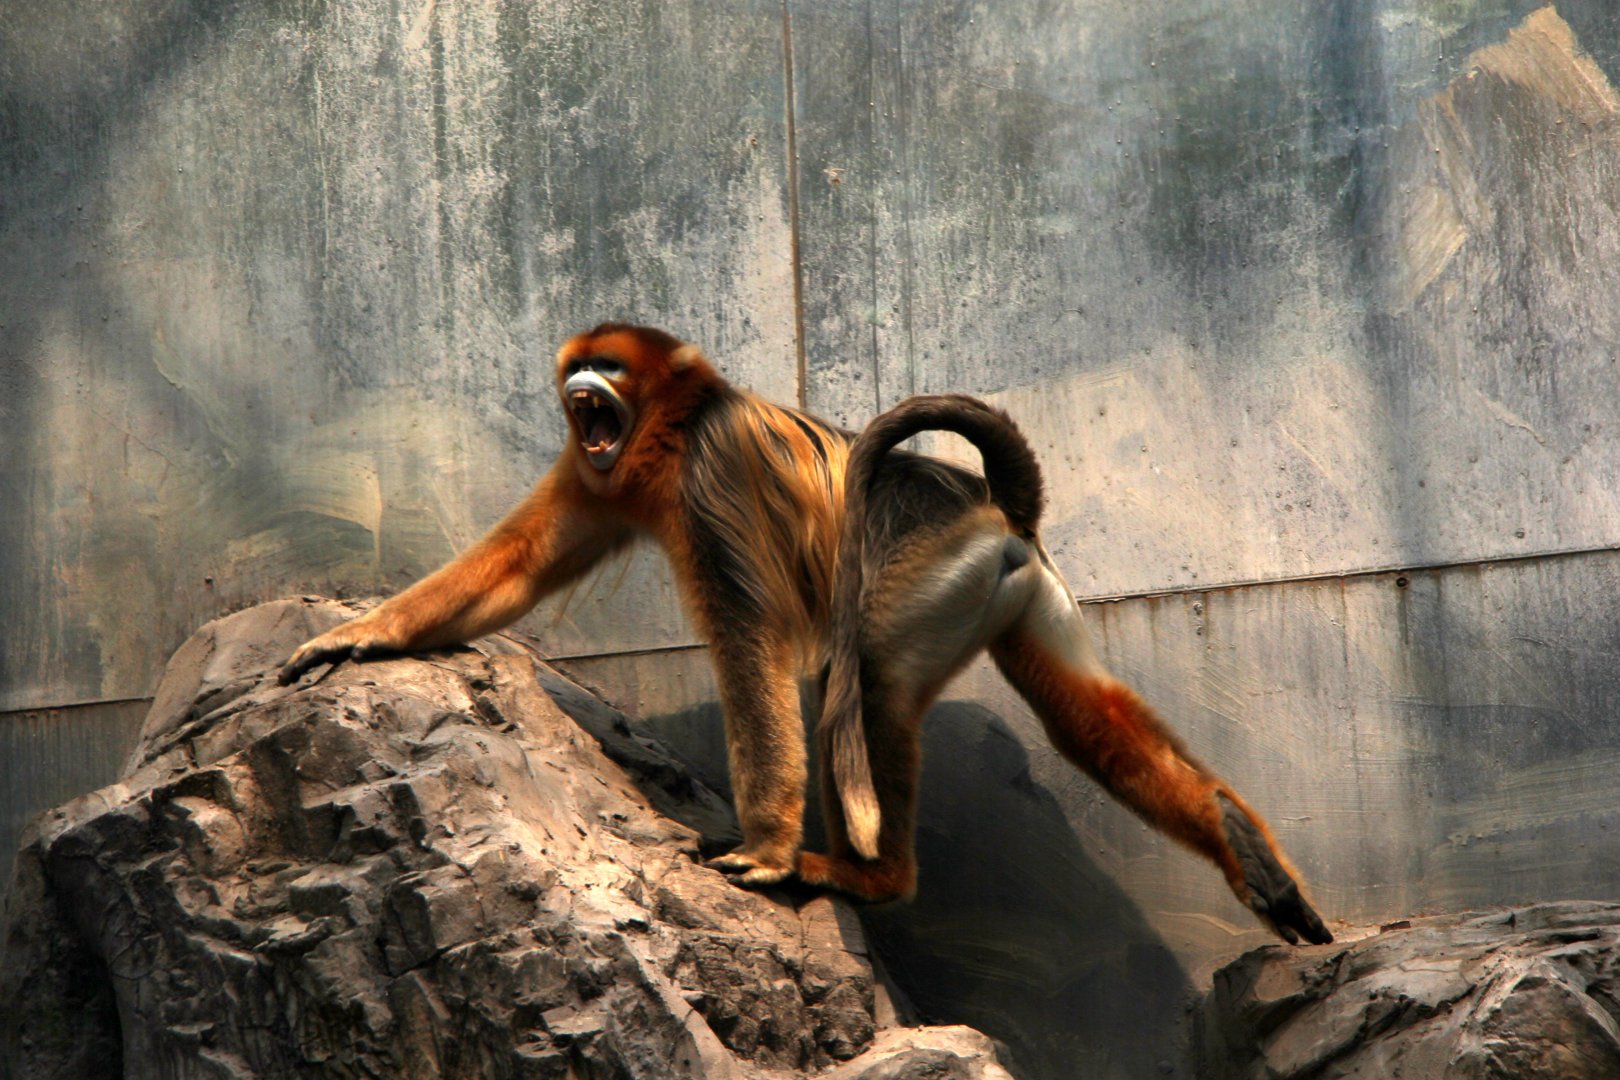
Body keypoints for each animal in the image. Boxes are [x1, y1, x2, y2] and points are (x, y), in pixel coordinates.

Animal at [279, 323, 1330, 946]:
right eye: (579, 367)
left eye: (607, 368)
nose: (578, 381)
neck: (679, 426)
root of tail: (993, 508)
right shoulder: (598, 467)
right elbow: (515, 568)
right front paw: (359, 640)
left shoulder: (711, 476)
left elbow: (753, 647)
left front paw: (770, 852)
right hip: (1020, 590)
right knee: (1085, 720)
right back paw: (1244, 847)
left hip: (931, 578)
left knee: (869, 685)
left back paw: (875, 880)